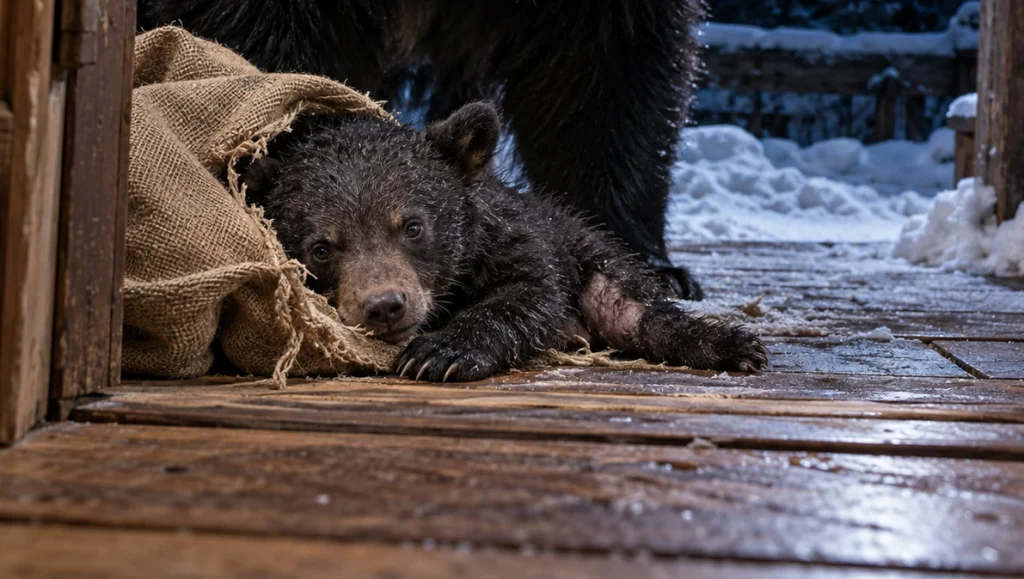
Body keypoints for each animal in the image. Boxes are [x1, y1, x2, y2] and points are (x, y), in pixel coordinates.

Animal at [239, 102, 766, 382]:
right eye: (321, 248)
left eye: (412, 226)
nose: (385, 305)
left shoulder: (514, 236)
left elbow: (528, 291)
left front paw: (441, 353)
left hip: (589, 252)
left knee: (632, 310)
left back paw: (729, 344)